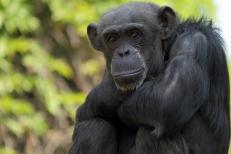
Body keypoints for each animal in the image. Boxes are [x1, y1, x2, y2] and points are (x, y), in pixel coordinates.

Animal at [68, 1, 229, 154]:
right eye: (112, 39)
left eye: (134, 34)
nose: (123, 52)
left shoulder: (193, 43)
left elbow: (167, 98)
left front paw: (87, 105)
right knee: (93, 129)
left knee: (152, 132)